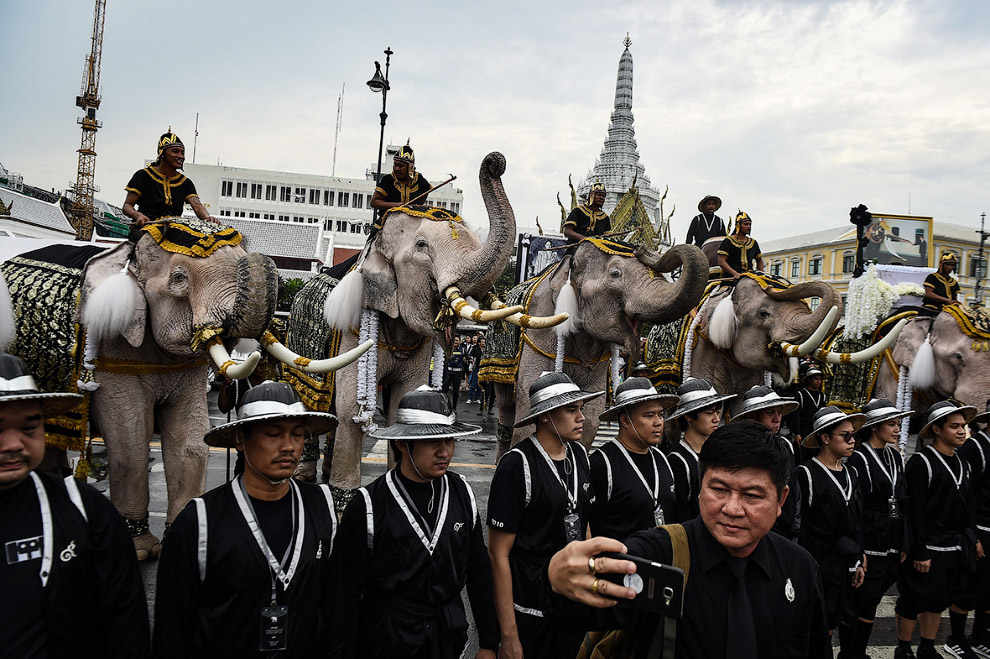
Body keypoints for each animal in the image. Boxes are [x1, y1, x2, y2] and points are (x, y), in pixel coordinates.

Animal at [0, 219, 366, 560]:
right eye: (178, 279)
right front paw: (141, 550)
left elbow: (191, 440)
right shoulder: (111, 348)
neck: (130, 255)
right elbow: (131, 437)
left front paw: (183, 532)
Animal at [486, 240, 708, 462]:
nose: (640, 248)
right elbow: (530, 402)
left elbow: (592, 410)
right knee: (505, 406)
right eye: (615, 273)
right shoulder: (541, 329)